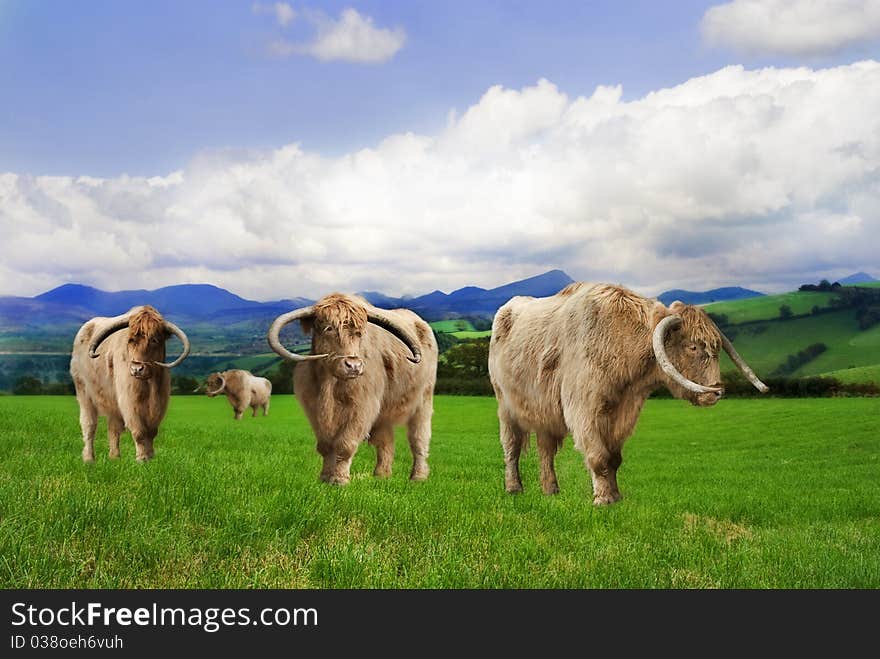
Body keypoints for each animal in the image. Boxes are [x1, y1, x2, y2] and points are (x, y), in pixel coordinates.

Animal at [264, 294, 436, 484]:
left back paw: (418, 476)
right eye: (328, 328)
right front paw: (325, 477)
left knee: (419, 438)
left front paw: (339, 479)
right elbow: (325, 445)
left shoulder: (362, 408)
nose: (353, 366)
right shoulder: (314, 410)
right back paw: (381, 475)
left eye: (359, 333)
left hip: (424, 401)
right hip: (384, 413)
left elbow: (345, 444)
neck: (329, 384)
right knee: (385, 441)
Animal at [484, 284, 768, 506]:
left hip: (544, 412)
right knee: (511, 446)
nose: (717, 392)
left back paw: (550, 490)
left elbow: (614, 457)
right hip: (506, 406)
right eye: (693, 347)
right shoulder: (583, 410)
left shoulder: (623, 412)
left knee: (545, 451)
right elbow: (598, 457)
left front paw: (616, 496)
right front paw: (602, 499)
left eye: (717, 347)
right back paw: (514, 487)